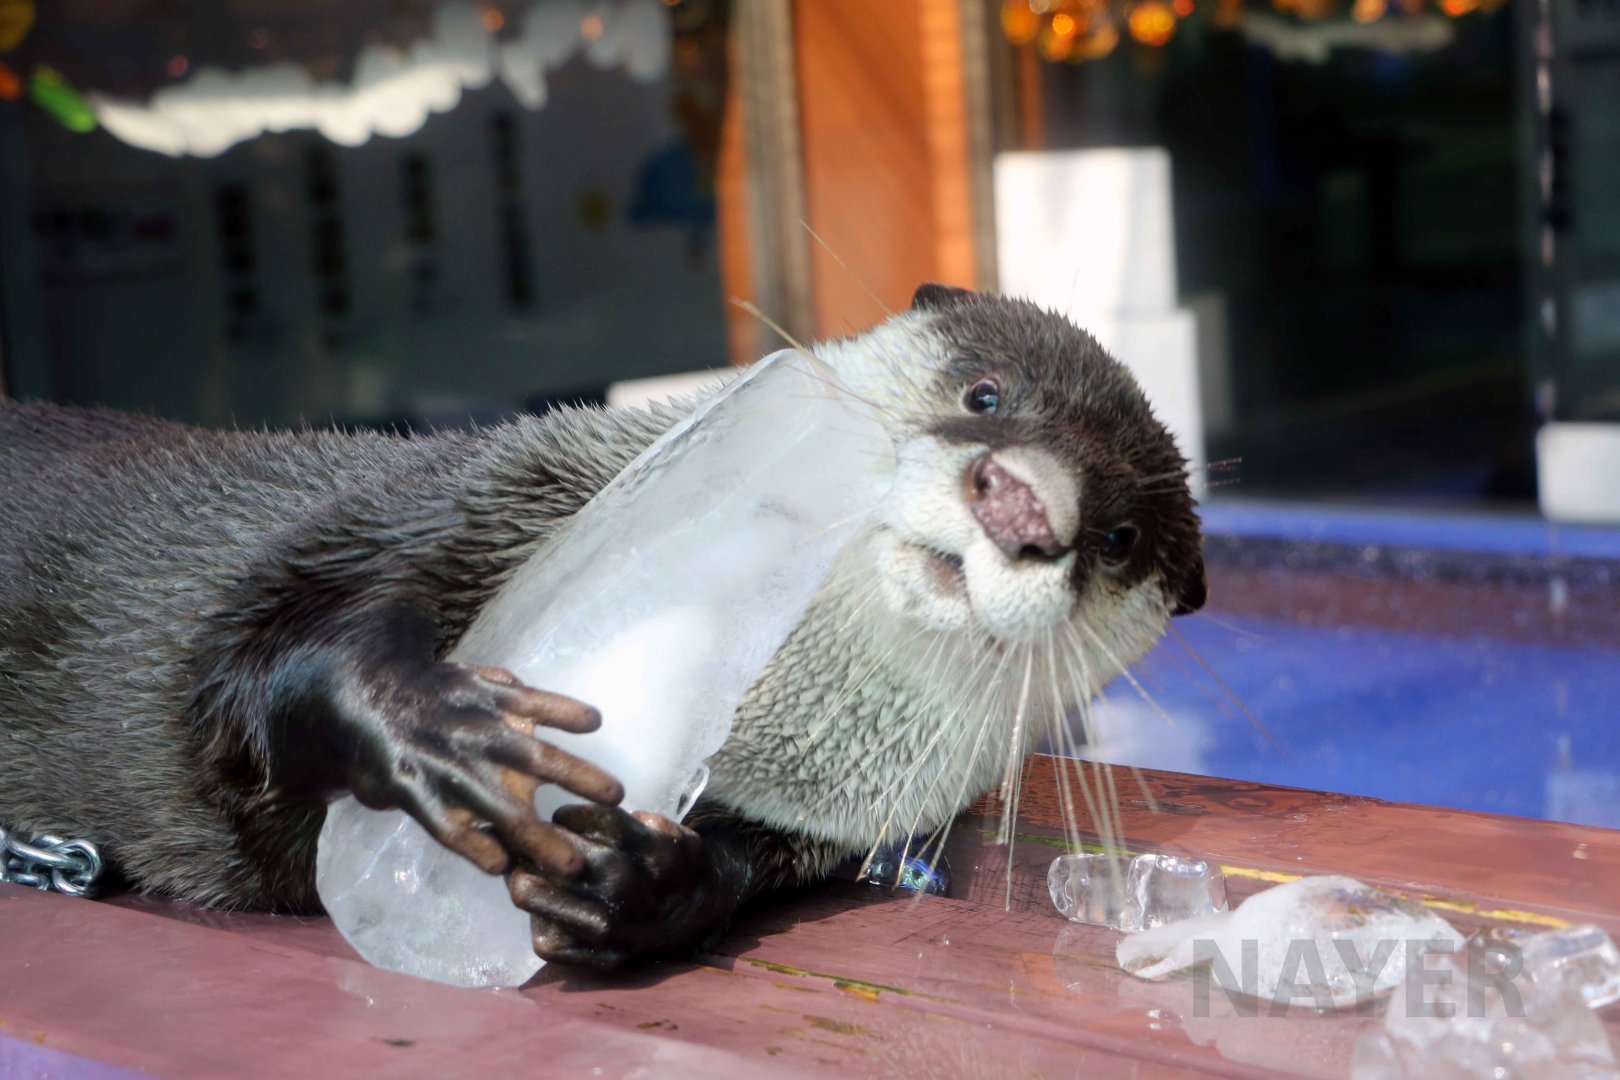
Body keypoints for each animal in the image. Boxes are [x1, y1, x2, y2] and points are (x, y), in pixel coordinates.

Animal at [0, 285, 1204, 968]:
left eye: (1120, 538)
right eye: (987, 393)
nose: (1025, 503)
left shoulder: (830, 818)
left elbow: (740, 868)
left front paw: (635, 888)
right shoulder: (448, 505)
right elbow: (253, 649)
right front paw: (443, 732)